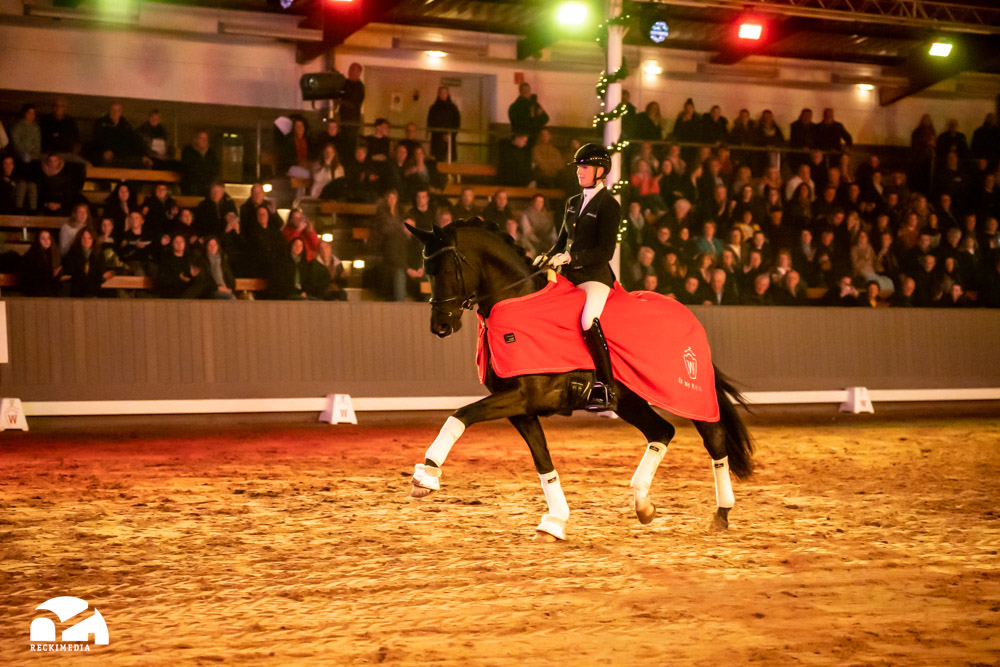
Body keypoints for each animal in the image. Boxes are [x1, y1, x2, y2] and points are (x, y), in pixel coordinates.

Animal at [404, 219, 752, 544]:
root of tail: (687, 314)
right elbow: (543, 460)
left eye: (446, 267)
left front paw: (426, 476)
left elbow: (461, 414)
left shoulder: (524, 396)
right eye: (426, 269)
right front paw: (554, 522)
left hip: (687, 395)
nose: (440, 326)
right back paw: (643, 504)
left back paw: (721, 513)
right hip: (629, 400)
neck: (518, 302)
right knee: (661, 431)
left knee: (714, 438)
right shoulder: (521, 408)